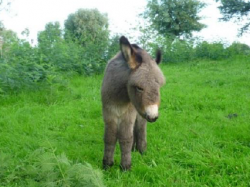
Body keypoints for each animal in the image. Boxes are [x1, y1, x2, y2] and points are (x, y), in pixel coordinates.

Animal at [100, 35, 165, 170]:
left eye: (159, 86)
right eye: (139, 88)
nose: (153, 116)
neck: (119, 98)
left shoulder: (128, 113)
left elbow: (125, 137)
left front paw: (125, 167)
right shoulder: (108, 112)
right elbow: (110, 137)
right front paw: (107, 164)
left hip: (139, 112)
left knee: (140, 127)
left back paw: (141, 150)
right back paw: (134, 149)